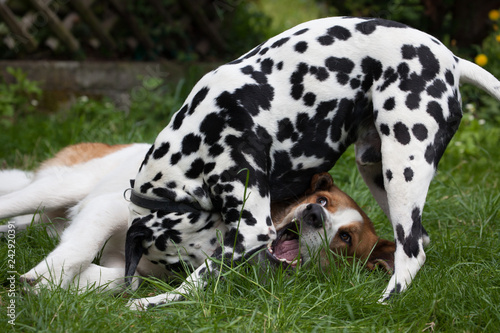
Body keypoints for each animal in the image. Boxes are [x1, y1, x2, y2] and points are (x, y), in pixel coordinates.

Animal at [0, 143, 392, 294]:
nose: (312, 214)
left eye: (346, 239)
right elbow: (83, 247)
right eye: (322, 200)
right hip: (57, 188)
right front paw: (48, 276)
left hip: (42, 218)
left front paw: (68, 284)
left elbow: (126, 278)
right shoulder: (110, 208)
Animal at [126, 14, 500, 306]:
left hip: (402, 169)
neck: (197, 137)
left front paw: (149, 302)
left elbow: (195, 283)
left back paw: (386, 302)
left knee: (412, 252)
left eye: (178, 263)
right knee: (418, 240)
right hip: (378, 173)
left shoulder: (251, 229)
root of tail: (453, 60)